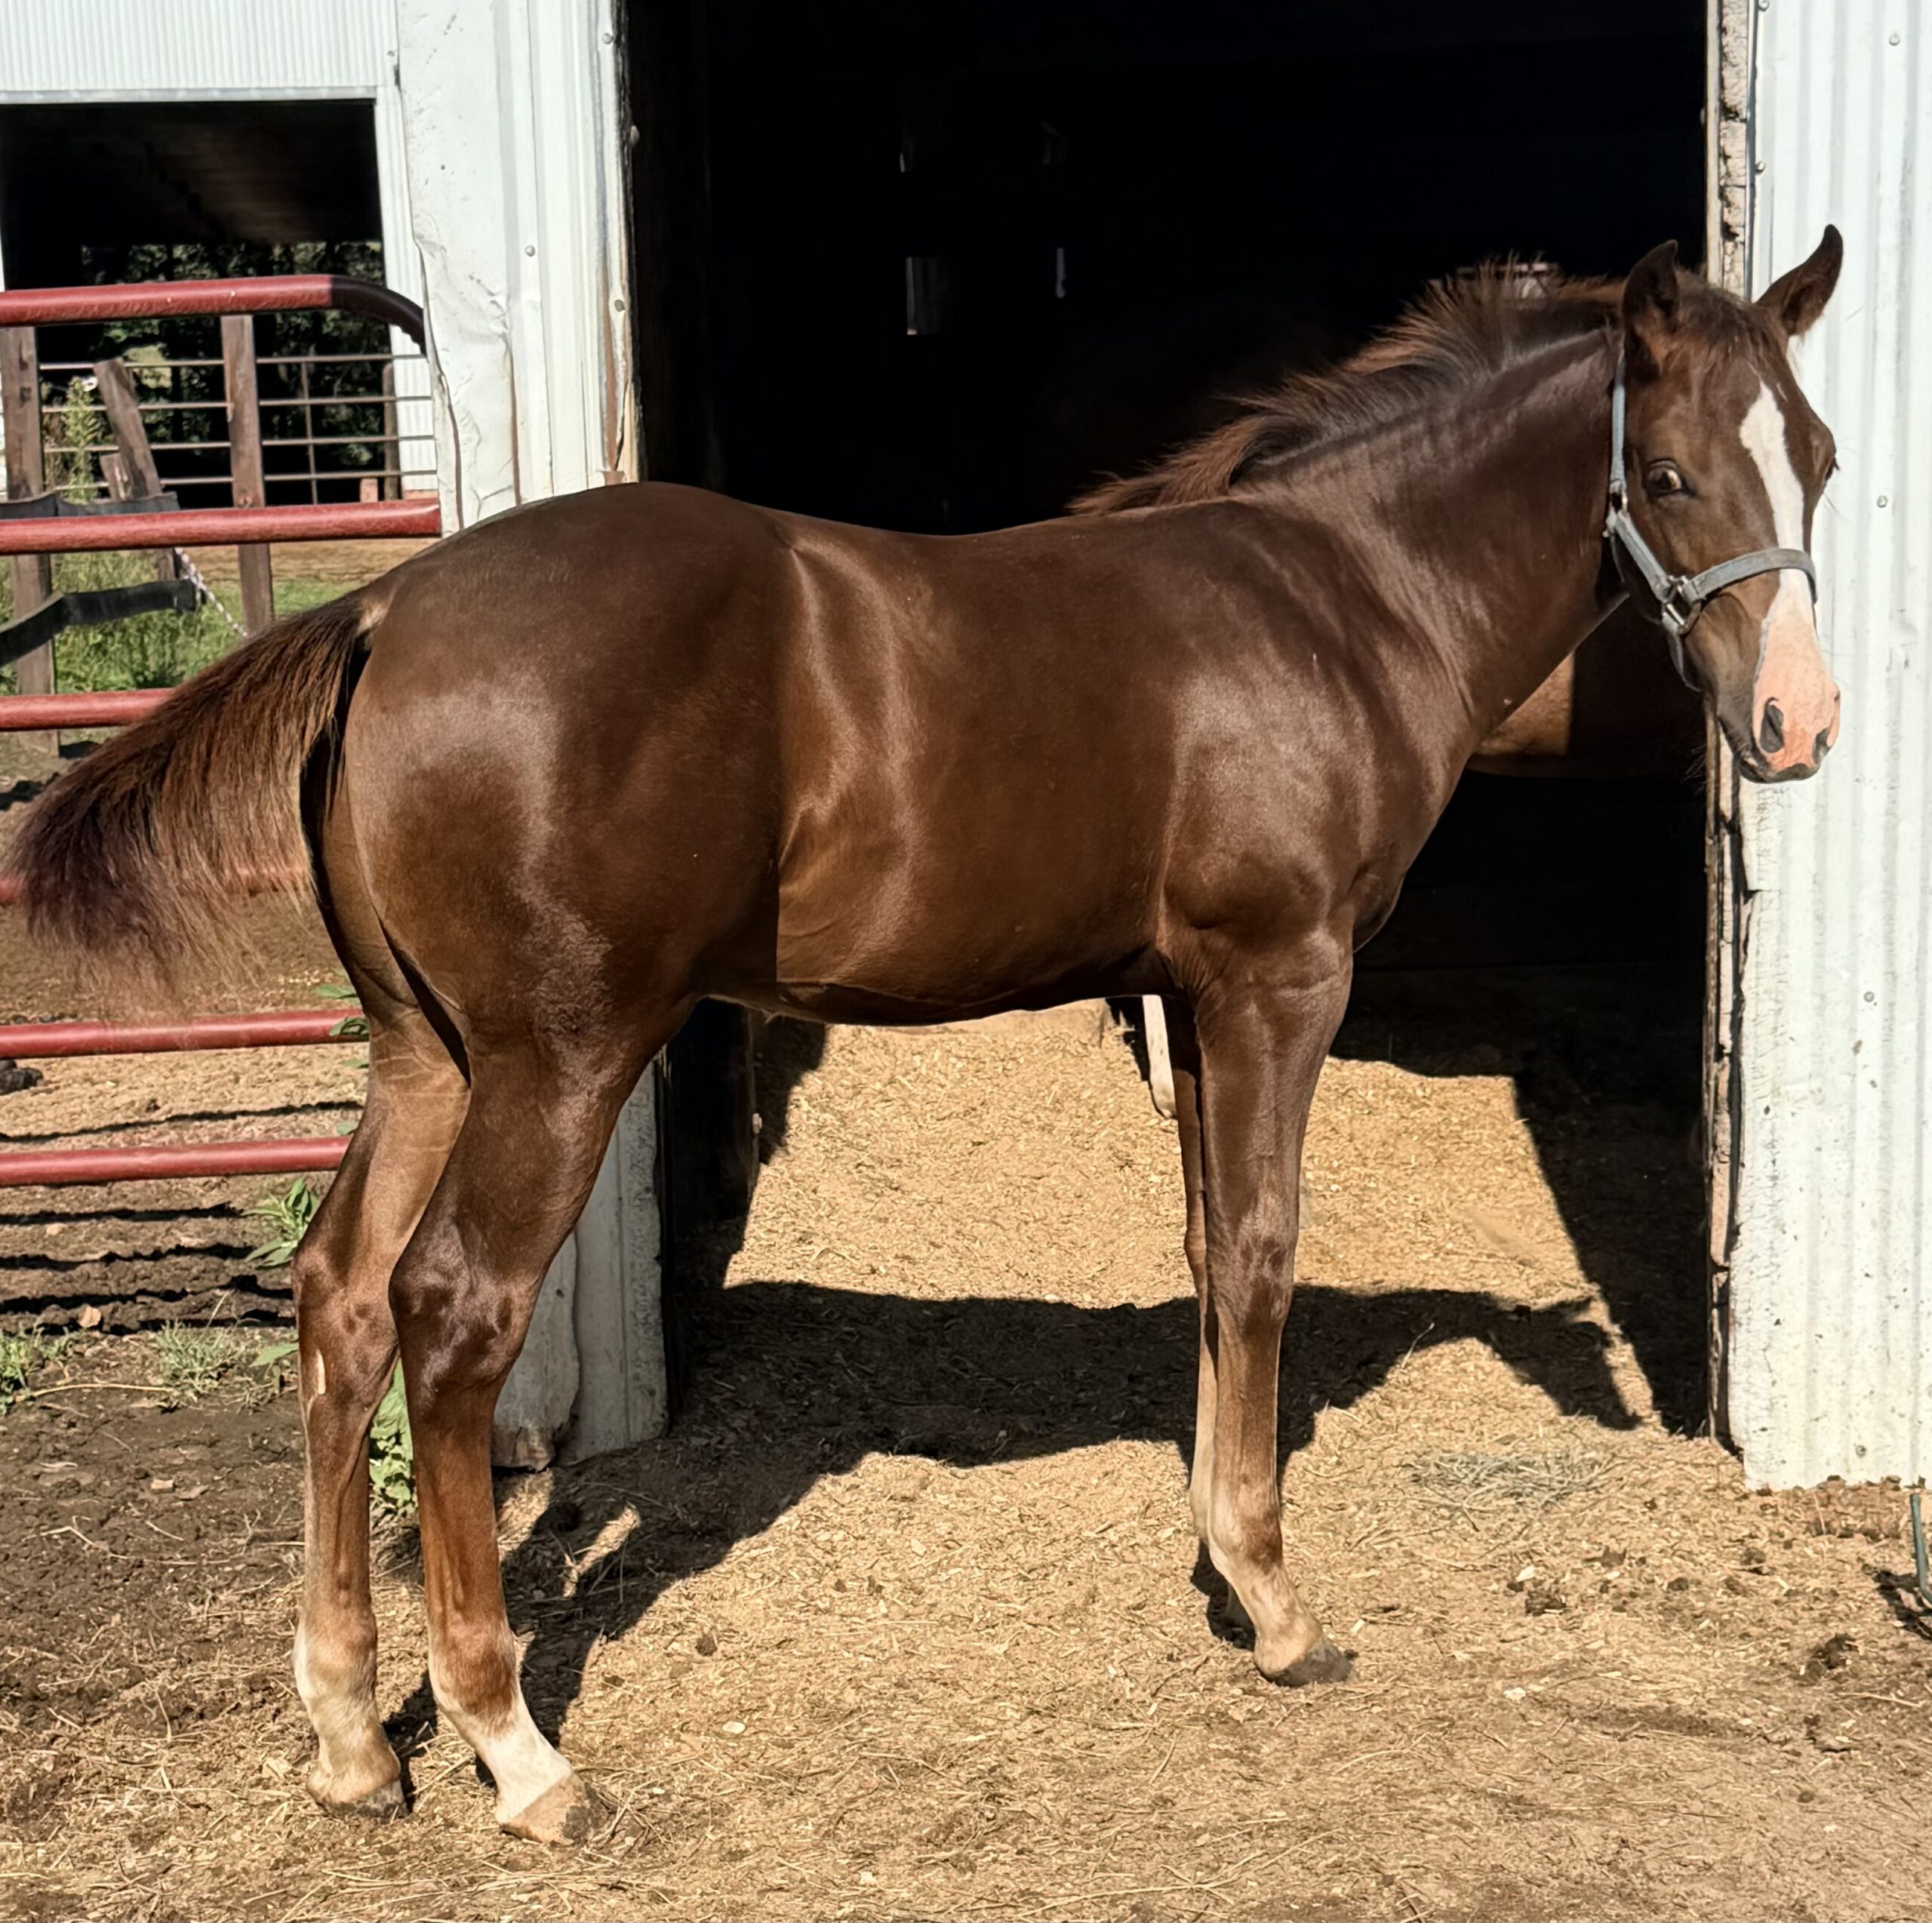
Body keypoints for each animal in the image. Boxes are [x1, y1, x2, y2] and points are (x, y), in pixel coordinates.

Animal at [12, 229, 1844, 1842]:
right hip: (556, 1060)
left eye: (1816, 459)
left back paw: (349, 1733)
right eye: (1669, 474)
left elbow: (1207, 1250)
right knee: (448, 1313)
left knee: (335, 1298)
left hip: (425, 1054)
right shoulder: (1279, 976)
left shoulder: (1189, 993)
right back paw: (517, 1753)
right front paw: (1276, 1603)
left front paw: (1220, 1550)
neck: (1337, 599)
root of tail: (385, 609)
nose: (1799, 727)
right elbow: (1261, 1249)